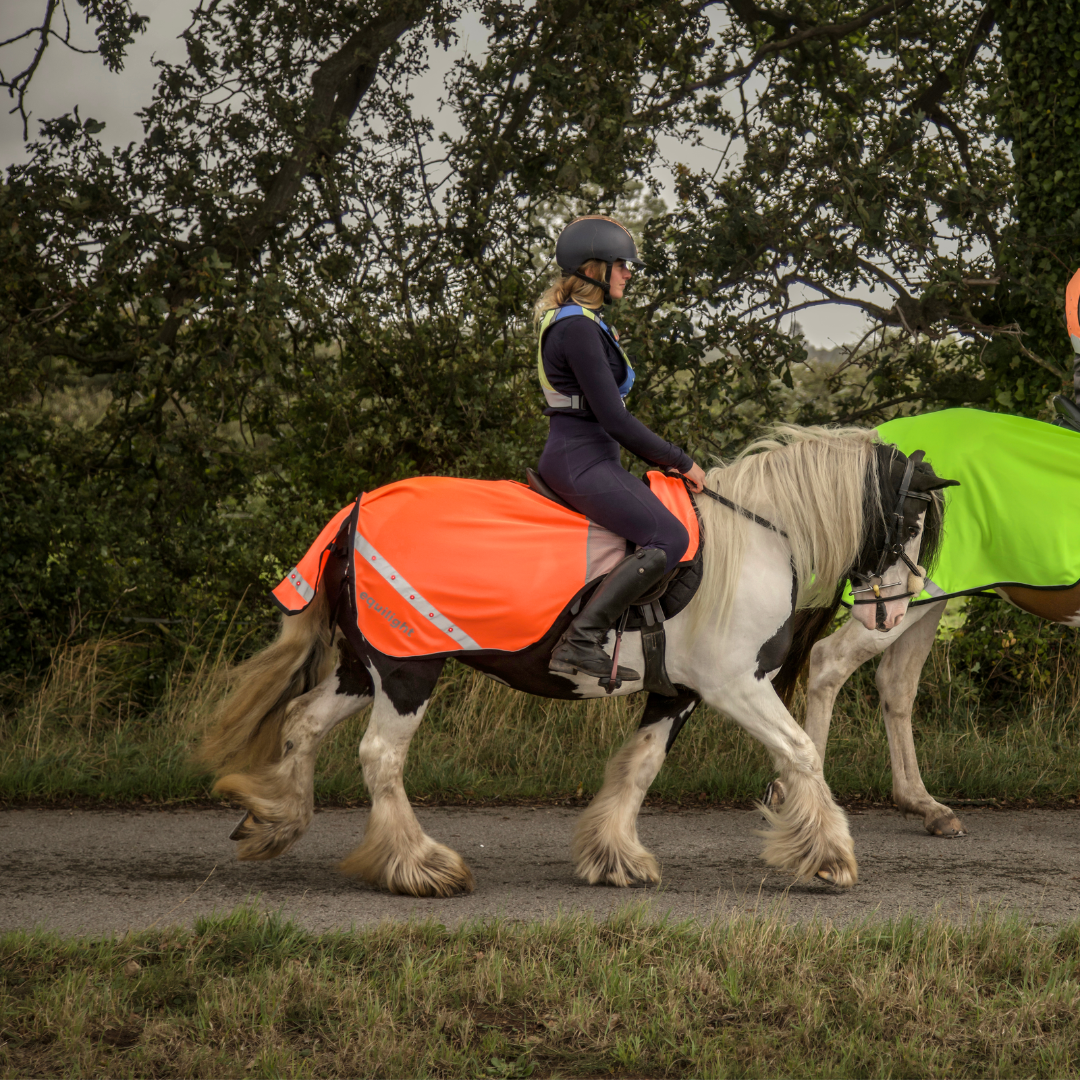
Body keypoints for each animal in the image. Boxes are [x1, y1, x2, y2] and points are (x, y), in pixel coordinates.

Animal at [196, 425, 954, 898]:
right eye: (915, 520)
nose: (893, 613)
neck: (759, 537)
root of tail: (354, 513)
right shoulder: (736, 684)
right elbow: (800, 751)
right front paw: (829, 857)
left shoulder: (679, 691)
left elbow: (640, 767)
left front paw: (613, 858)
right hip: (410, 670)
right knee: (381, 757)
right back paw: (420, 867)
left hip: (366, 667)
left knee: (302, 721)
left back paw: (274, 822)